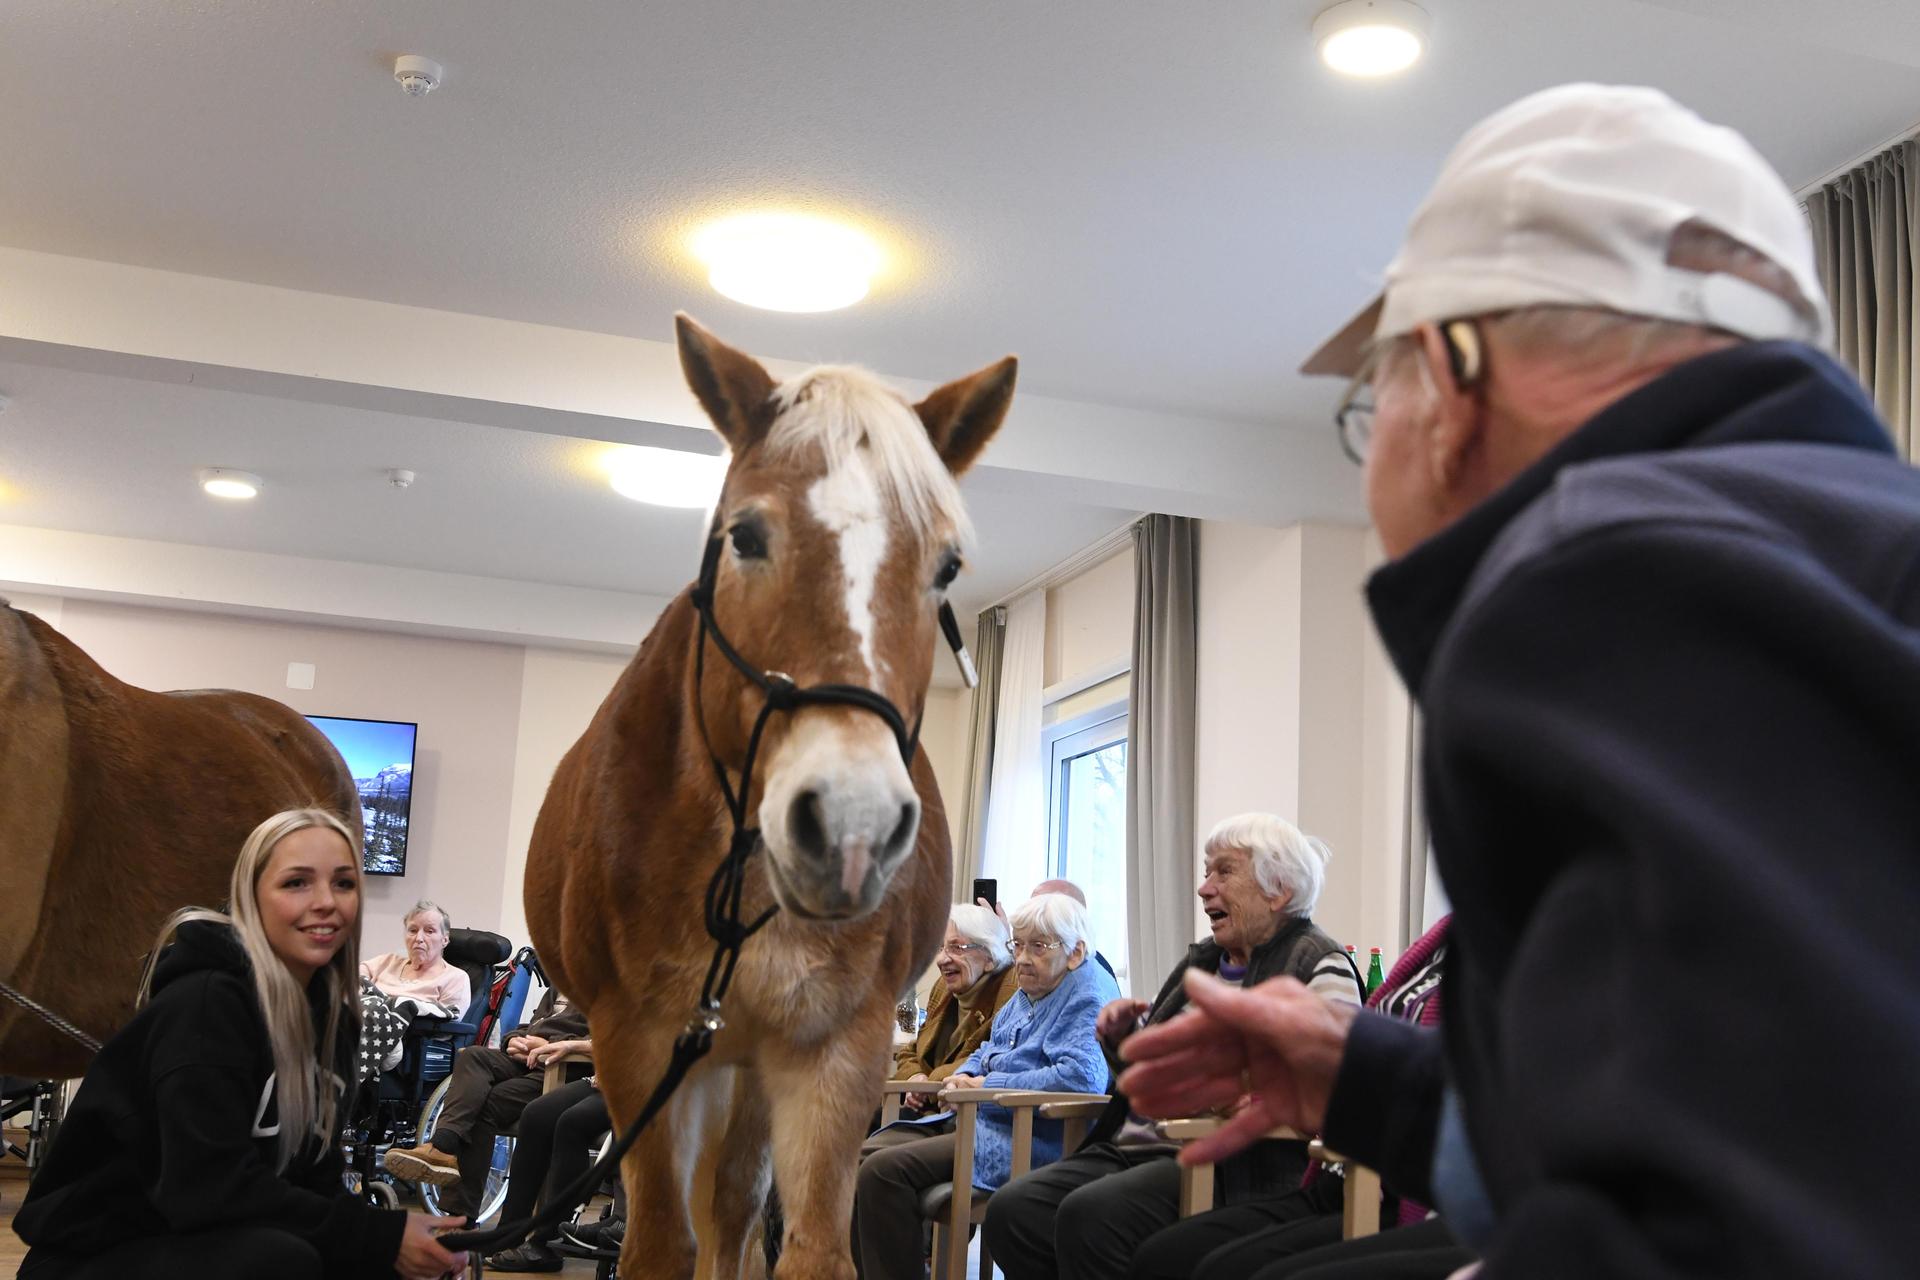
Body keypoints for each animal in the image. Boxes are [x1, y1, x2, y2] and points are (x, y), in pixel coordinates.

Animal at [524, 314, 1015, 1279]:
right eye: (745, 536)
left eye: (947, 565)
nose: (853, 829)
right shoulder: (638, 1045)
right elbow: (659, 1245)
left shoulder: (837, 1048)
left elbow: (809, 1246)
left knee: (735, 1204)